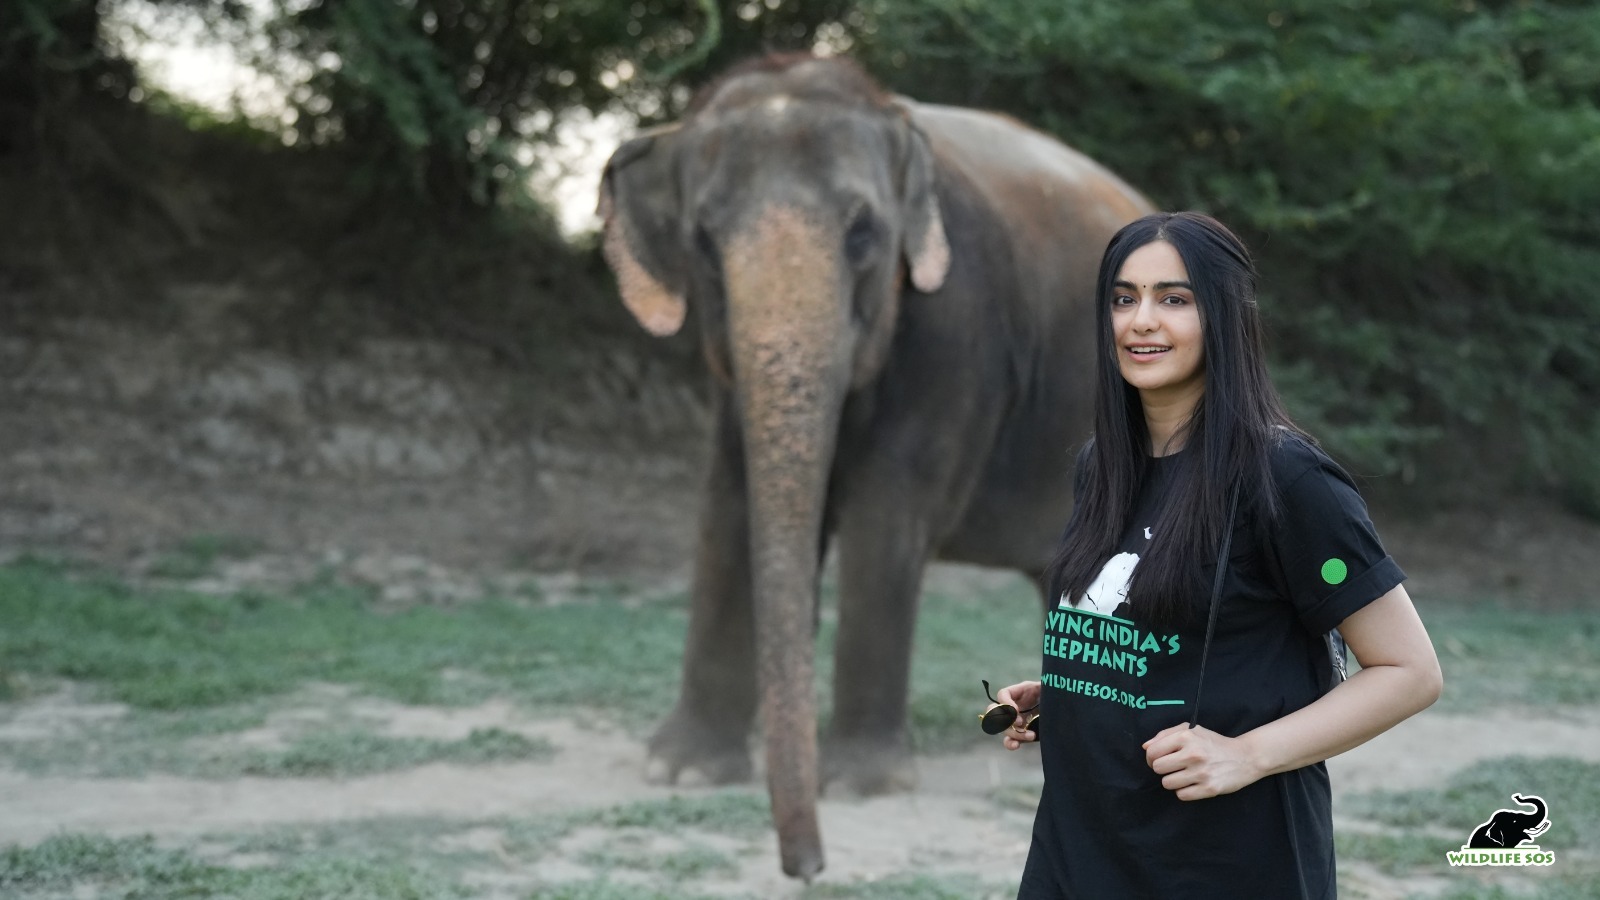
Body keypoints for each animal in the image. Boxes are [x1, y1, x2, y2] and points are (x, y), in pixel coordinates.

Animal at [601, 50, 1152, 877]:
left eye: (863, 233)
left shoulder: (955, 330)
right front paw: (682, 770)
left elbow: (884, 520)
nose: (807, 868)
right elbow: (728, 503)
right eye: (701, 240)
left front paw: (862, 786)